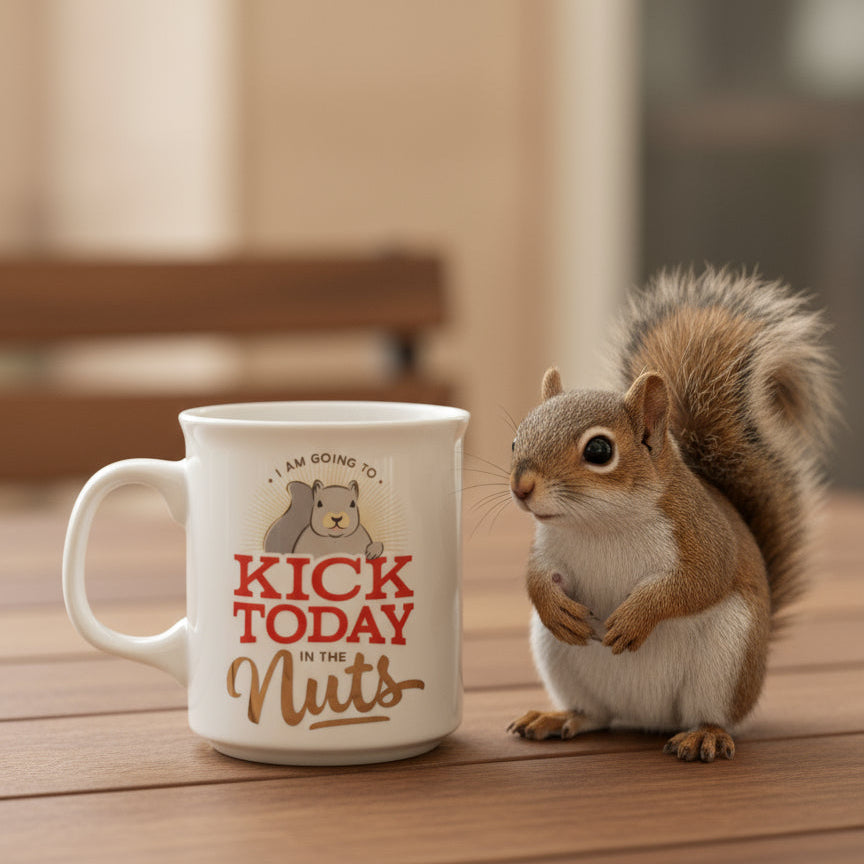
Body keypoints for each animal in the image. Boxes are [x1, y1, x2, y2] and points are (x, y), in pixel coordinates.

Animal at [507, 267, 836, 762]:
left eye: (599, 450)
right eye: (516, 439)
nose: (521, 487)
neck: (599, 524)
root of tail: (645, 717)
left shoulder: (701, 535)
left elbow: (698, 581)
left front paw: (636, 616)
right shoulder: (549, 547)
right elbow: (536, 576)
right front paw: (553, 605)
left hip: (727, 658)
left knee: (711, 713)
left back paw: (705, 735)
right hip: (557, 656)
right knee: (594, 713)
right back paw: (559, 716)